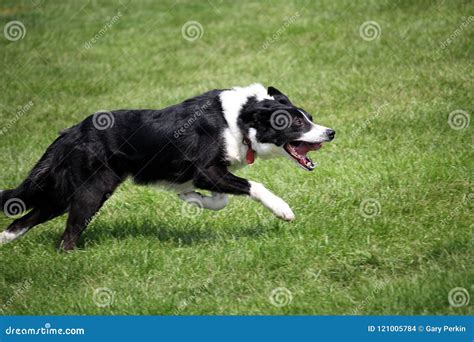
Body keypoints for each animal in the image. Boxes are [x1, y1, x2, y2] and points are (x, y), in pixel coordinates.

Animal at [0, 84, 334, 250]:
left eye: (310, 117)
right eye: (296, 122)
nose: (331, 132)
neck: (240, 119)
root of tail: (71, 132)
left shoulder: (209, 174)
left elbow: (220, 200)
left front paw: (191, 198)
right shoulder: (207, 170)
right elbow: (253, 187)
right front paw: (283, 210)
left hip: (62, 192)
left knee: (24, 219)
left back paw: (5, 242)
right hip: (90, 192)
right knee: (65, 237)